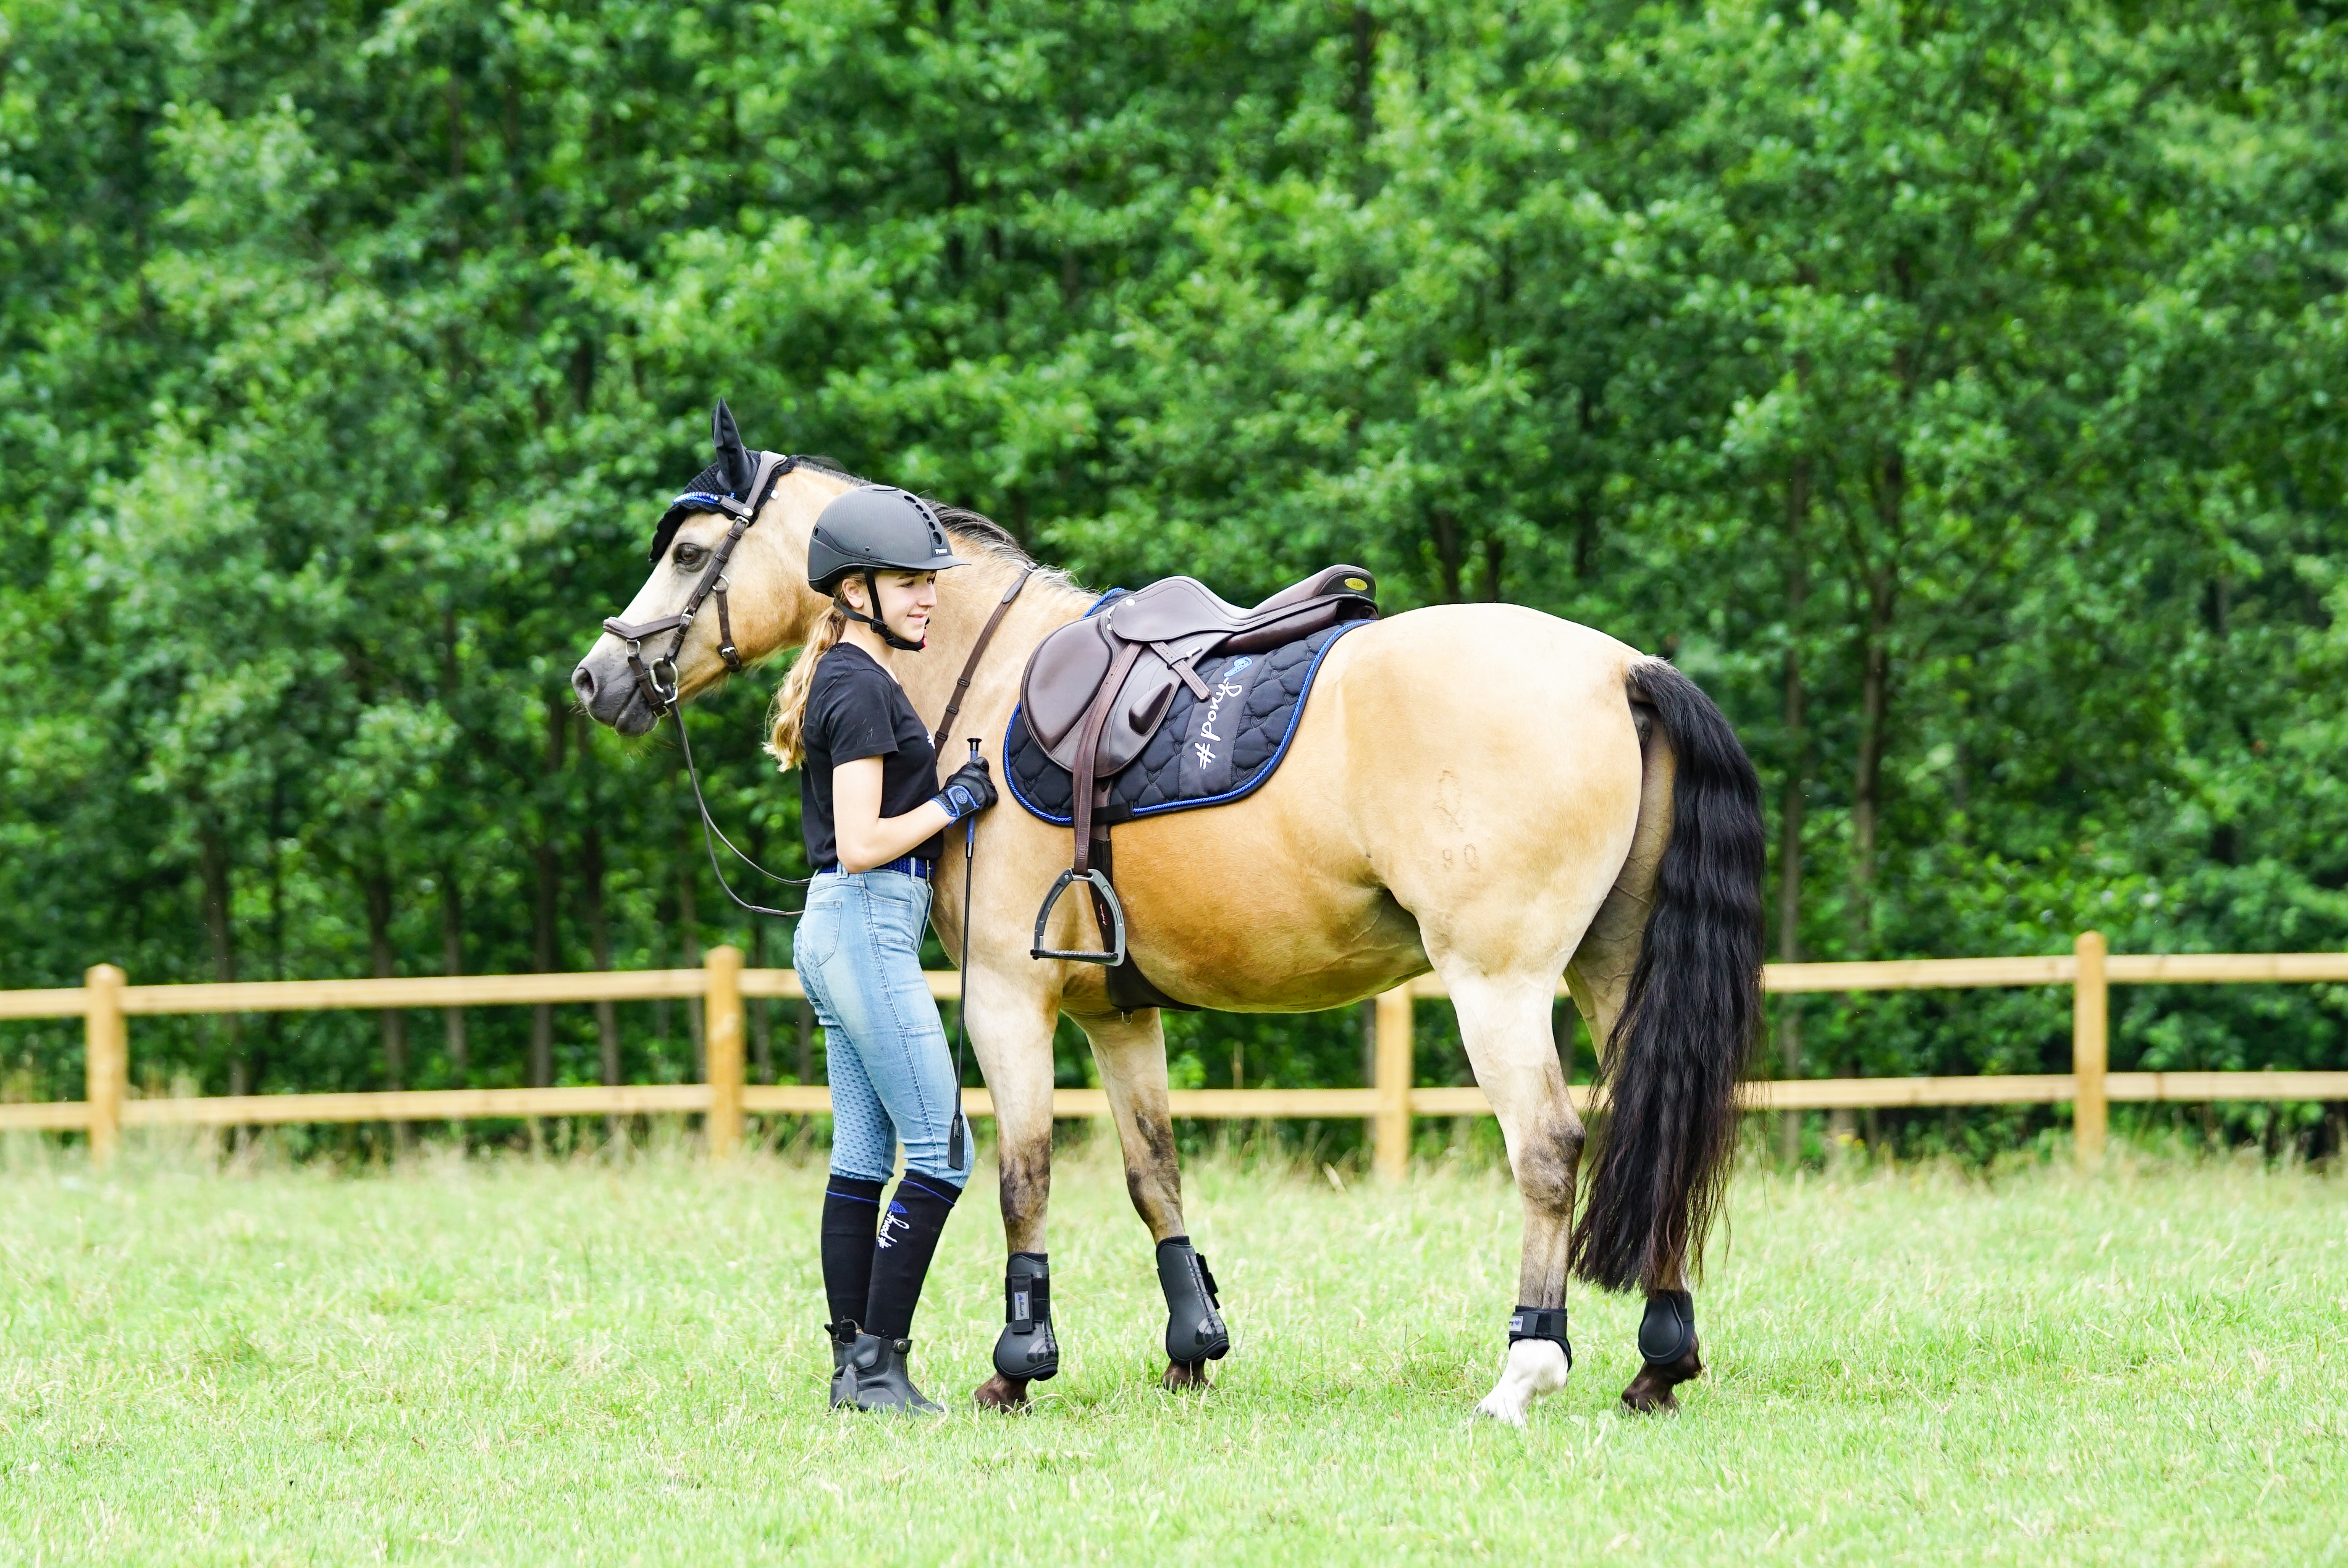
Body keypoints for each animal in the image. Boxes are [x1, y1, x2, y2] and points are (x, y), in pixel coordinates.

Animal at [573, 424, 1765, 1417]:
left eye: (690, 553)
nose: (598, 676)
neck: (991, 676)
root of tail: (1619, 666)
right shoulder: (1116, 1010)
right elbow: (1155, 1173)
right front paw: (1193, 1346)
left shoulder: (1008, 995)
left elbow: (1024, 1174)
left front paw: (1019, 1364)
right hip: (1610, 970)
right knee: (1660, 1118)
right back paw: (1659, 1360)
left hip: (1498, 983)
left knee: (1549, 1147)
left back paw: (1527, 1364)